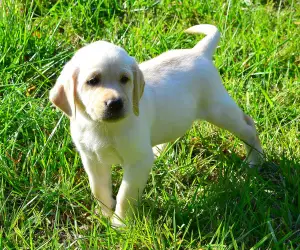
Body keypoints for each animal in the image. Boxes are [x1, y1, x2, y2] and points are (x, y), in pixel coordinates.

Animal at [50, 24, 264, 228]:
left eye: (125, 79)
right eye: (92, 81)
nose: (115, 103)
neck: (103, 127)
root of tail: (198, 52)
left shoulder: (138, 162)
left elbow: (125, 195)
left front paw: (120, 224)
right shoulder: (92, 160)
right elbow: (99, 190)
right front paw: (104, 215)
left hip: (219, 110)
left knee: (248, 126)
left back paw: (255, 160)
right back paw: (159, 150)